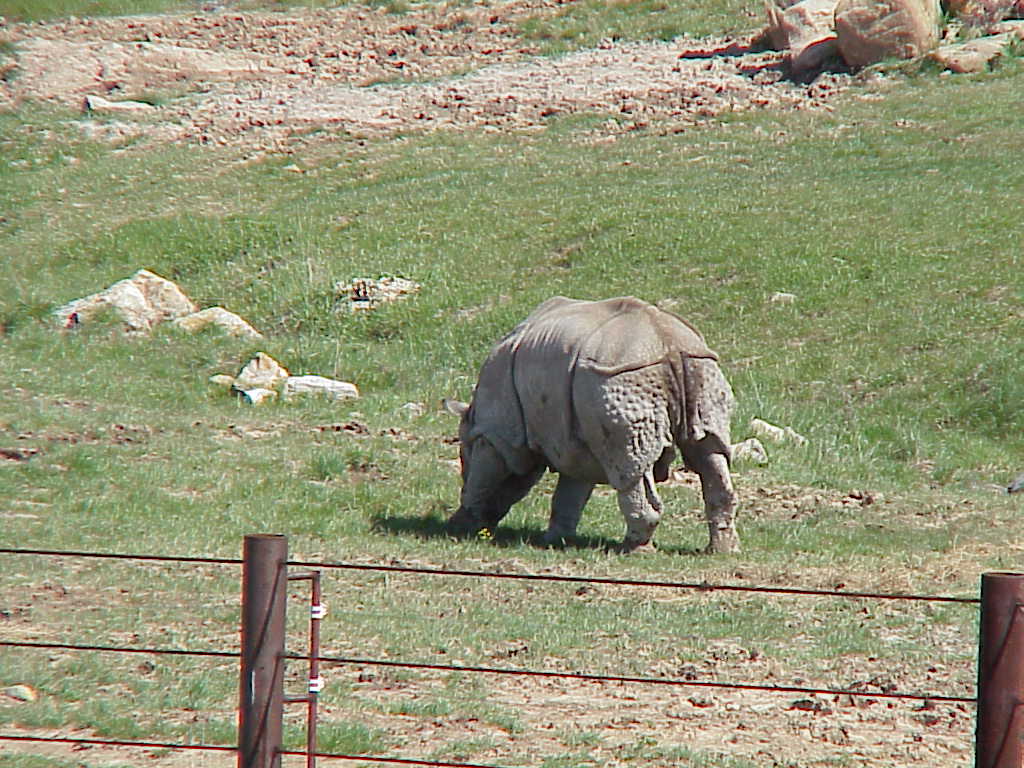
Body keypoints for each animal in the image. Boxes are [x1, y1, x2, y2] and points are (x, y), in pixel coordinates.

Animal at [445, 296, 739, 553]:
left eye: (463, 457)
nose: (485, 524)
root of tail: (669, 344)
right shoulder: (576, 441)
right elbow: (570, 492)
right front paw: (555, 540)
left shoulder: (496, 435)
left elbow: (483, 478)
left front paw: (462, 527)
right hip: (700, 368)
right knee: (710, 452)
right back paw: (721, 551)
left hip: (619, 376)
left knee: (630, 466)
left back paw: (632, 549)